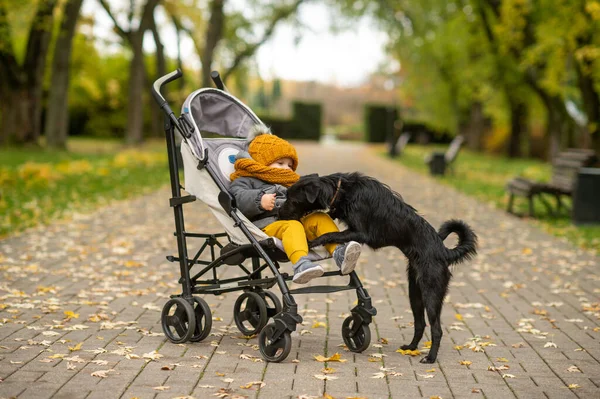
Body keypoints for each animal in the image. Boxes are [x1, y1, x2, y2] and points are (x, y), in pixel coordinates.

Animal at [278, 173, 478, 364]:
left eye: (292, 199)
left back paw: (430, 358)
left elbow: (331, 233)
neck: (342, 191)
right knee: (420, 323)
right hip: (415, 292)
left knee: (436, 329)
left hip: (432, 292)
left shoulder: (361, 233)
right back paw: (411, 347)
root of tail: (443, 252)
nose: (278, 213)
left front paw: (312, 241)